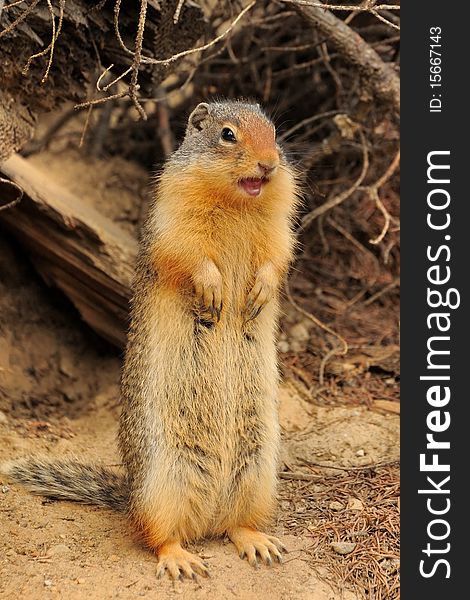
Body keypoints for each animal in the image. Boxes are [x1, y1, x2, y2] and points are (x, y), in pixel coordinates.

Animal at [1, 101, 300, 580]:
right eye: (227, 134)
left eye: (274, 133)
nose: (269, 165)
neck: (237, 202)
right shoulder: (172, 215)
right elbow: (188, 253)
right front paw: (213, 289)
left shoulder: (279, 226)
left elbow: (277, 256)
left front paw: (259, 292)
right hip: (166, 481)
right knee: (156, 535)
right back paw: (180, 559)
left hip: (257, 472)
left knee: (235, 525)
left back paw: (257, 542)